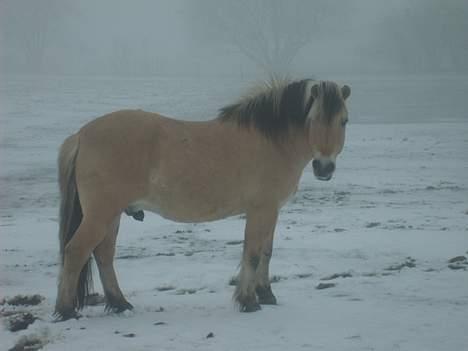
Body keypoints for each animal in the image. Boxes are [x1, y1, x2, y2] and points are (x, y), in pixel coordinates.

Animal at [54, 80, 350, 322]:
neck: (272, 142)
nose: (324, 168)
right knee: (76, 251)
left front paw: (266, 294)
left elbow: (266, 251)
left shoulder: (272, 211)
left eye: (344, 120)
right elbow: (253, 254)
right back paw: (67, 310)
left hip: (112, 214)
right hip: (100, 214)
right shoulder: (261, 210)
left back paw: (119, 303)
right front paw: (248, 301)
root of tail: (80, 135)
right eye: (313, 118)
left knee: (103, 254)